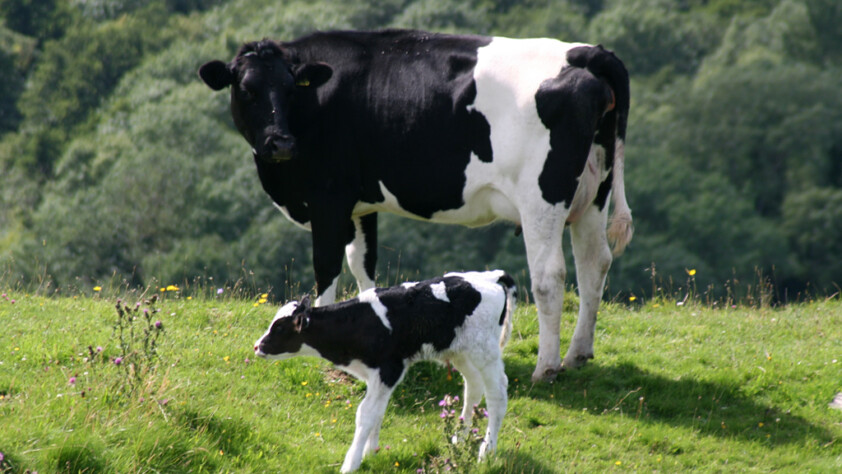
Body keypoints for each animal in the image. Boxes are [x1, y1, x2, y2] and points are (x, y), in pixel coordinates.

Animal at [200, 29, 632, 382]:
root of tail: (586, 52)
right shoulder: (362, 203)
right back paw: (578, 355)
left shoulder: (328, 199)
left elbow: (327, 267)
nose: (280, 142)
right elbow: (363, 263)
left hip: (543, 196)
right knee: (594, 262)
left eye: (291, 89)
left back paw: (546, 368)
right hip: (595, 191)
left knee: (550, 276)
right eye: (247, 89)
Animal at [254, 270, 517, 473]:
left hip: (485, 351)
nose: (257, 346)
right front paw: (371, 452)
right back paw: (459, 436)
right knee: (473, 386)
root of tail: (491, 276)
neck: (359, 322)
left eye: (279, 327)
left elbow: (366, 414)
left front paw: (351, 463)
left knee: (497, 393)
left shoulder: (389, 370)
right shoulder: (375, 375)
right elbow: (378, 412)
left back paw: (487, 451)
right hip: (460, 351)